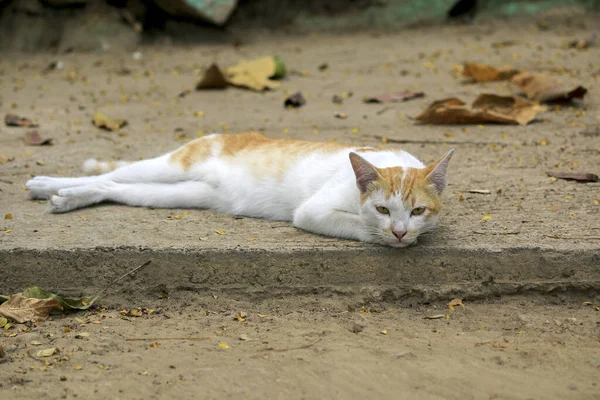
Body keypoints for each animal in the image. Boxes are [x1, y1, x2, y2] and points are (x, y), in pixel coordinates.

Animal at [25, 132, 452, 247]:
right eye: (382, 209)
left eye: (417, 211)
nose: (400, 231)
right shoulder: (313, 212)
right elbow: (360, 227)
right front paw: (390, 238)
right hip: (174, 165)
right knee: (116, 174)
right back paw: (48, 185)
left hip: (183, 193)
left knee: (112, 186)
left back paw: (67, 198)